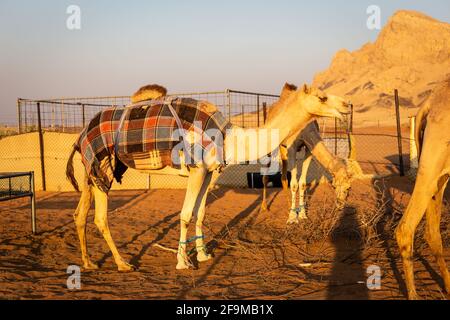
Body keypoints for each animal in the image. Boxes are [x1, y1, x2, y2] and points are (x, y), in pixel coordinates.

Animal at [260, 84, 352, 224]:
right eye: (335, 186)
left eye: (349, 188)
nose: (341, 205)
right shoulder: (292, 147)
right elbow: (294, 184)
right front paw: (292, 218)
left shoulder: (308, 149)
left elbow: (302, 183)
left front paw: (302, 215)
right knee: (266, 175)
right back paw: (264, 207)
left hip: (283, 149)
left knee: (283, 176)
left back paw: (288, 204)